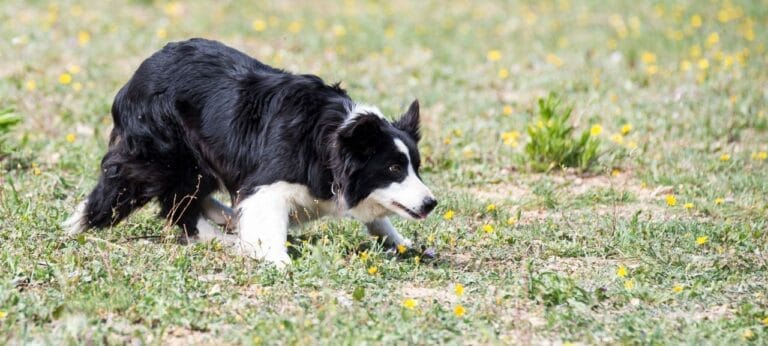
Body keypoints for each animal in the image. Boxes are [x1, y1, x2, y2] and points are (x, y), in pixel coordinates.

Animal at [64, 38, 438, 264]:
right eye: (393, 168)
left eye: (416, 167)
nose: (431, 203)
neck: (335, 137)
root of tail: (136, 75)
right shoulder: (270, 179)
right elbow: (265, 212)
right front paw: (276, 259)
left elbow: (379, 219)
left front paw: (404, 243)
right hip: (168, 150)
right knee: (177, 206)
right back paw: (224, 238)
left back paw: (227, 218)